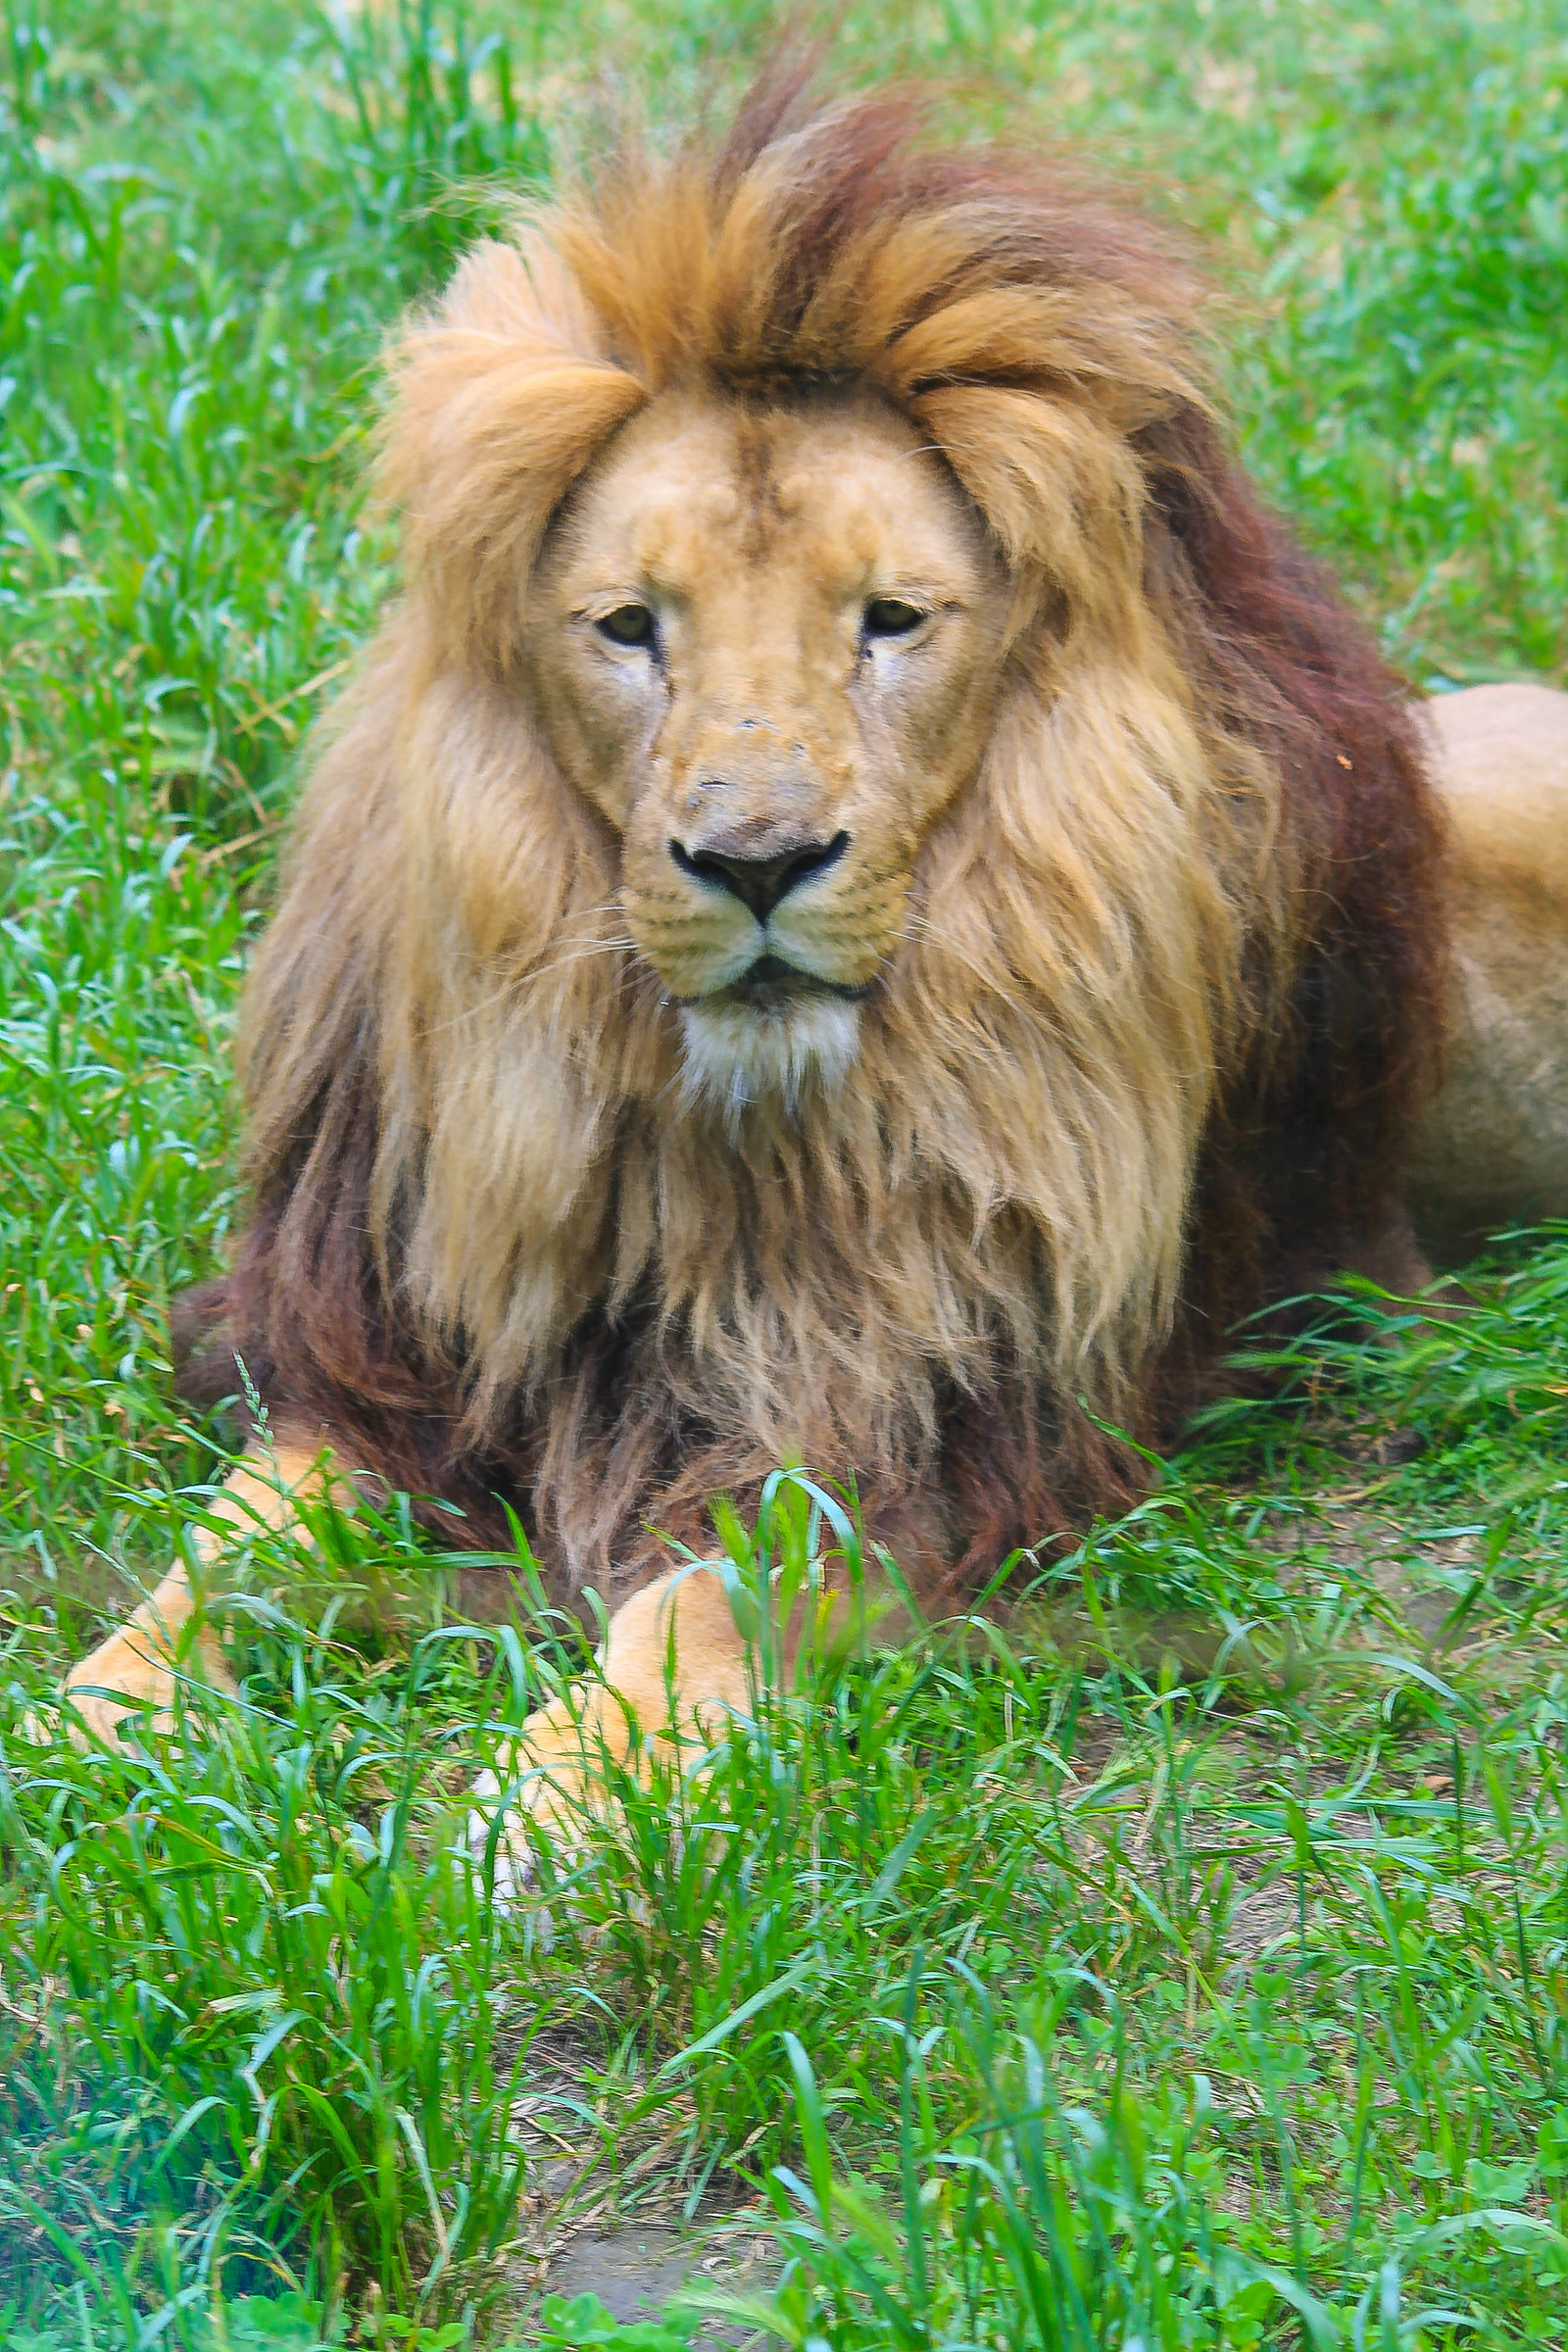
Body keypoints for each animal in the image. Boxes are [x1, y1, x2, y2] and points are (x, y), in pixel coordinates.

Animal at [50, 63, 1568, 1835]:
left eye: (891, 620)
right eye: (631, 627)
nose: (758, 861)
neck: (725, 1138)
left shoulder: (920, 1419)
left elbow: (700, 1600)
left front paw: (556, 1801)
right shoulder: (404, 1360)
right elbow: (228, 1546)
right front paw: (99, 1720)